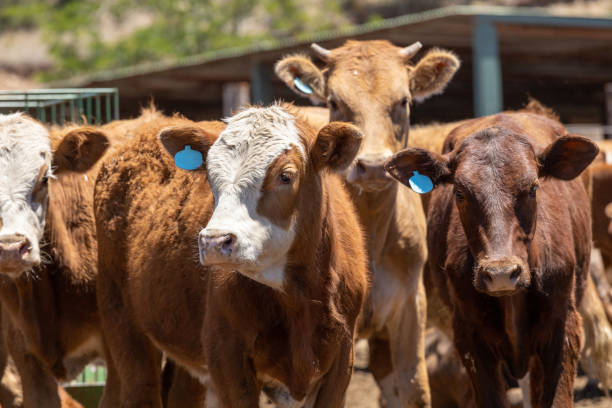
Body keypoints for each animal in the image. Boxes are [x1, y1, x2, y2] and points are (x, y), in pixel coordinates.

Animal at [94, 105, 368, 408]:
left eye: (286, 176)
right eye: (210, 176)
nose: (215, 241)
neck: (299, 299)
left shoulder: (341, 359)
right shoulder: (227, 356)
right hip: (120, 318)